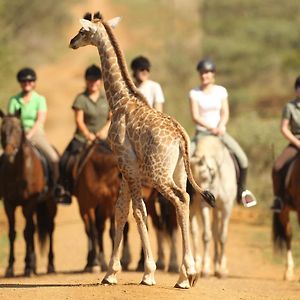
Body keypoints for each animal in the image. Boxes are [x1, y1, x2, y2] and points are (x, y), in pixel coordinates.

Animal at [0, 110, 57, 276]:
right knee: (33, 230)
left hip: (50, 204)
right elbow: (13, 234)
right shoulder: (9, 204)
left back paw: (50, 266)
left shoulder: (29, 203)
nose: (9, 152)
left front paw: (26, 267)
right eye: (2, 130)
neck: (18, 171)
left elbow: (27, 232)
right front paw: (10, 268)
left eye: (18, 130)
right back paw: (33, 264)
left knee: (49, 229)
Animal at [69, 11, 214, 288]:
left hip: (159, 173)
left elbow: (137, 212)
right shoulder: (126, 167)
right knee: (186, 200)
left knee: (180, 199)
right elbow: (120, 211)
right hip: (179, 171)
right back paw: (185, 275)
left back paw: (185, 274)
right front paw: (110, 273)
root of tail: (180, 137)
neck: (120, 100)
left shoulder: (127, 163)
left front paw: (147, 273)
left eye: (83, 31)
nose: (71, 42)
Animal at [190, 135, 237, 278]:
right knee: (195, 232)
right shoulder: (204, 208)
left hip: (218, 210)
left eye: (206, 175)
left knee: (217, 231)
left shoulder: (226, 207)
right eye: (191, 178)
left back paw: (218, 266)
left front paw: (222, 269)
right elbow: (206, 236)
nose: (205, 197)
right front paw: (205, 269)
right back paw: (197, 263)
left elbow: (222, 236)